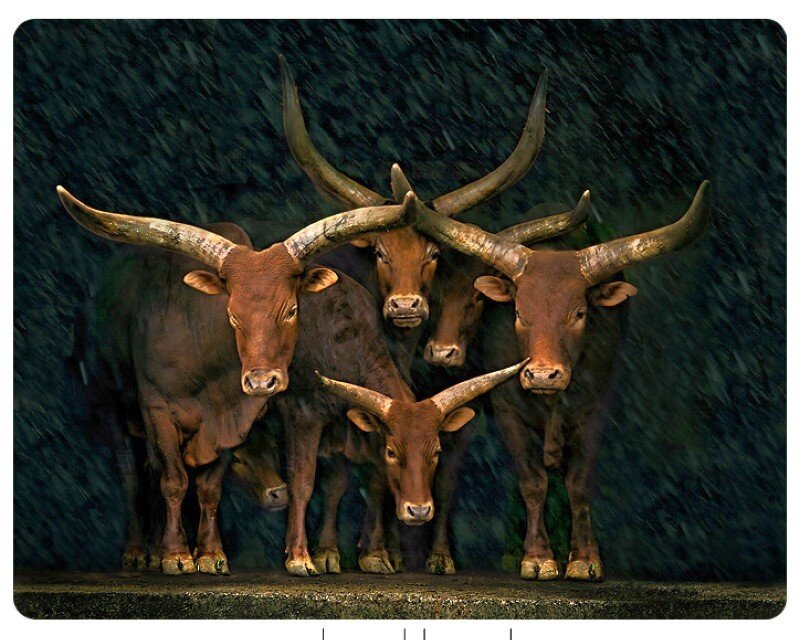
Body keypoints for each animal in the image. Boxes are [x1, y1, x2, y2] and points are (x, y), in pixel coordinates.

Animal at [57, 186, 414, 574]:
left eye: (291, 310)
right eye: (232, 315)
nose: (261, 383)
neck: (201, 354)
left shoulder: (232, 419)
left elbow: (210, 486)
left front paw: (210, 554)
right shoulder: (158, 412)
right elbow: (174, 481)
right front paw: (176, 555)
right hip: (109, 405)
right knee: (132, 476)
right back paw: (140, 551)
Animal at [270, 270, 524, 576]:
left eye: (436, 451)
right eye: (392, 452)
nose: (419, 510)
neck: (343, 342)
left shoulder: (353, 428)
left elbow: (354, 486)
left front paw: (368, 554)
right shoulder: (304, 417)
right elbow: (303, 481)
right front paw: (300, 557)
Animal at [410, 182, 712, 580]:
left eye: (579, 313)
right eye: (519, 313)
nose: (542, 374)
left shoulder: (597, 406)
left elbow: (578, 483)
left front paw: (584, 558)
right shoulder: (508, 411)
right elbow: (532, 481)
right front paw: (538, 558)